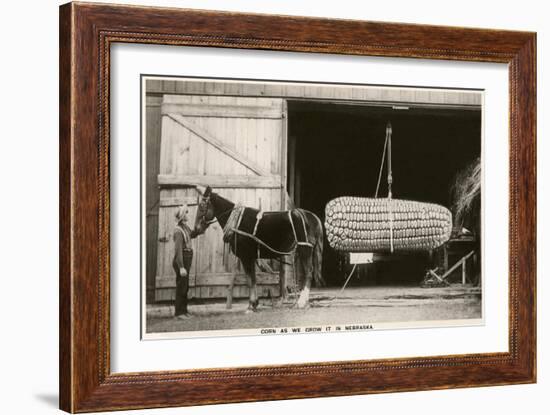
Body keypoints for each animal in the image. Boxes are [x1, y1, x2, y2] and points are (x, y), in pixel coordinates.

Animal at [193, 187, 324, 310]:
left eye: (202, 206)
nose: (195, 229)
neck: (237, 221)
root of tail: (312, 216)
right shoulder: (251, 257)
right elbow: (253, 279)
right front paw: (254, 303)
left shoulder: (245, 256)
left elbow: (249, 280)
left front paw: (251, 305)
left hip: (305, 250)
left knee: (309, 272)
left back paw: (302, 302)